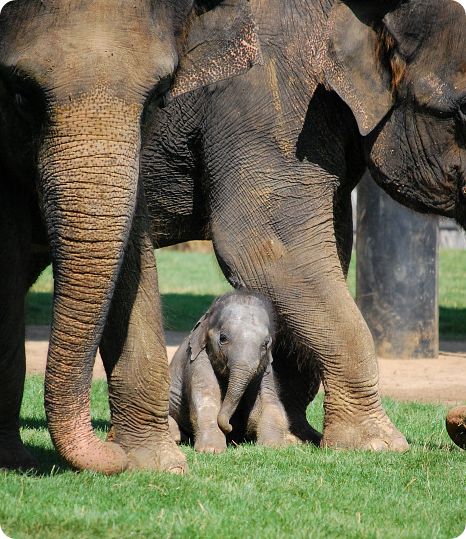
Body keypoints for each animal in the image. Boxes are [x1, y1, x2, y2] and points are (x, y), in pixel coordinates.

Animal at [0, 0, 262, 474]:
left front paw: (158, 465)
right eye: (21, 94)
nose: (110, 448)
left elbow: (135, 263)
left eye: (158, 96)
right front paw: (13, 462)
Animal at [169, 292, 294, 452]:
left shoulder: (265, 366)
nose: (230, 428)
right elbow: (206, 396)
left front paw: (275, 446)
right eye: (223, 338)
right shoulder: (196, 358)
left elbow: (269, 400)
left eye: (266, 344)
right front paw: (212, 450)